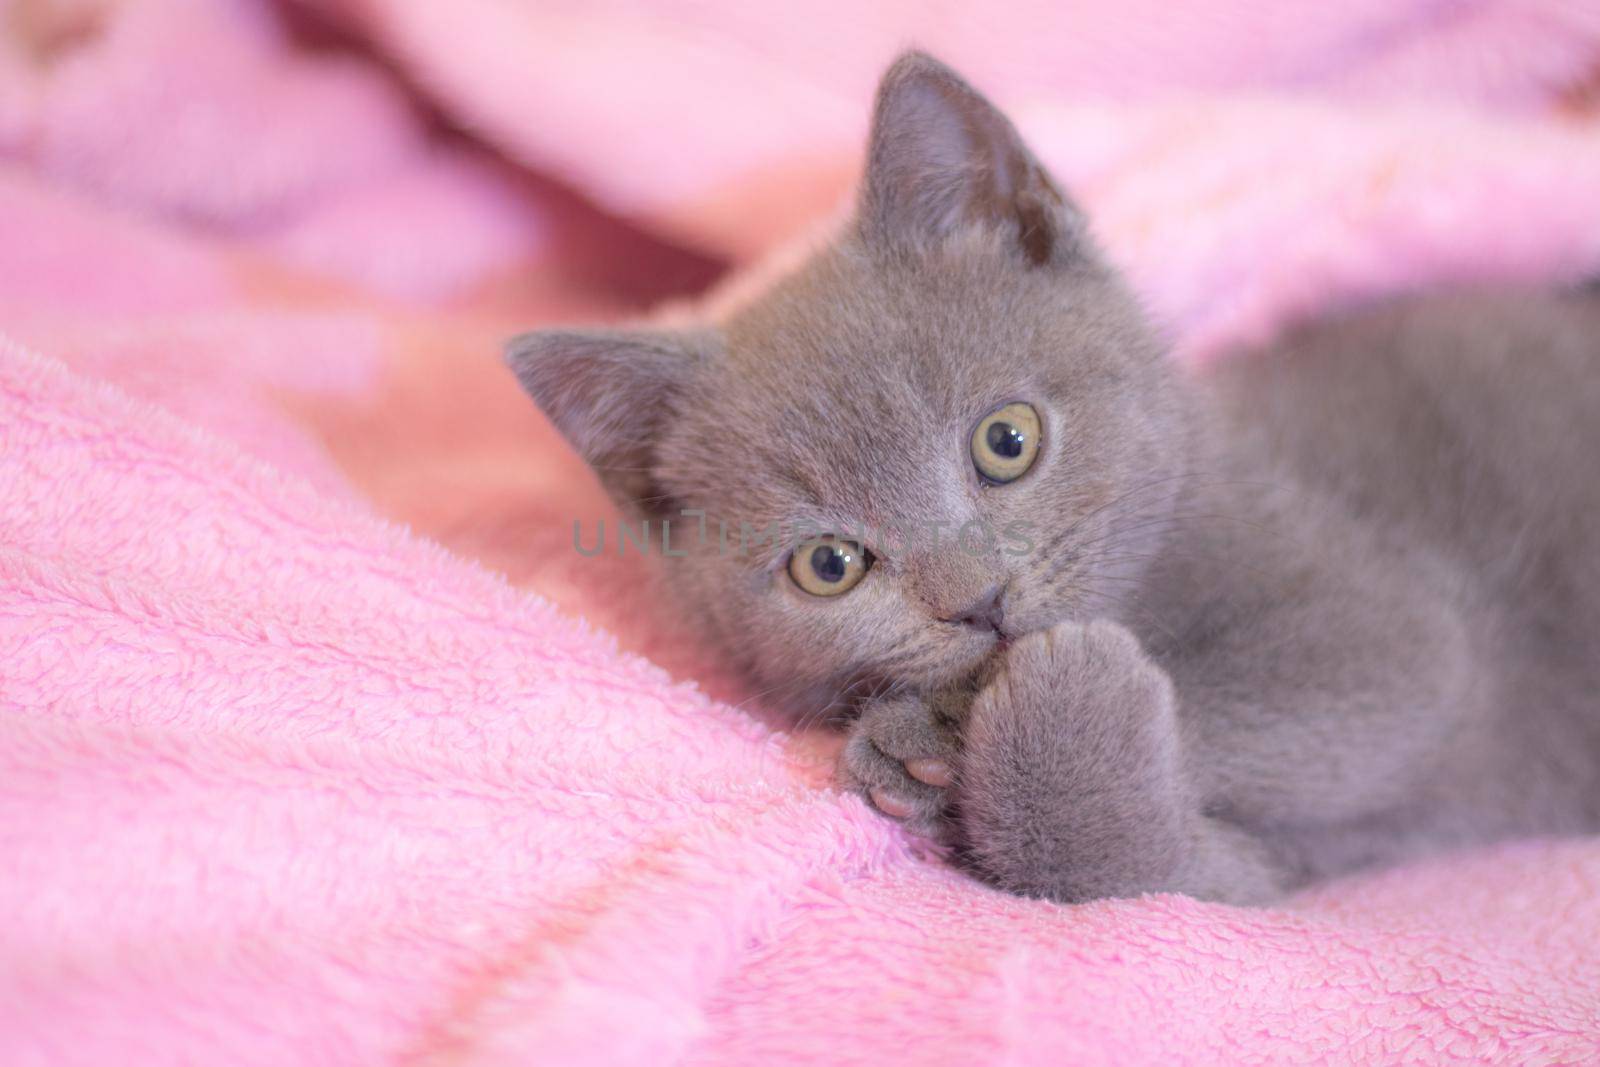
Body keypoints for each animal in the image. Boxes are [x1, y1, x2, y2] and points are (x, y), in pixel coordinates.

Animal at [502, 49, 1600, 902]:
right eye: (829, 565)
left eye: (1006, 440)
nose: (977, 599)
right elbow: (1132, 874)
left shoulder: (1379, 613)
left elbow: (1357, 674)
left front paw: (955, 723)